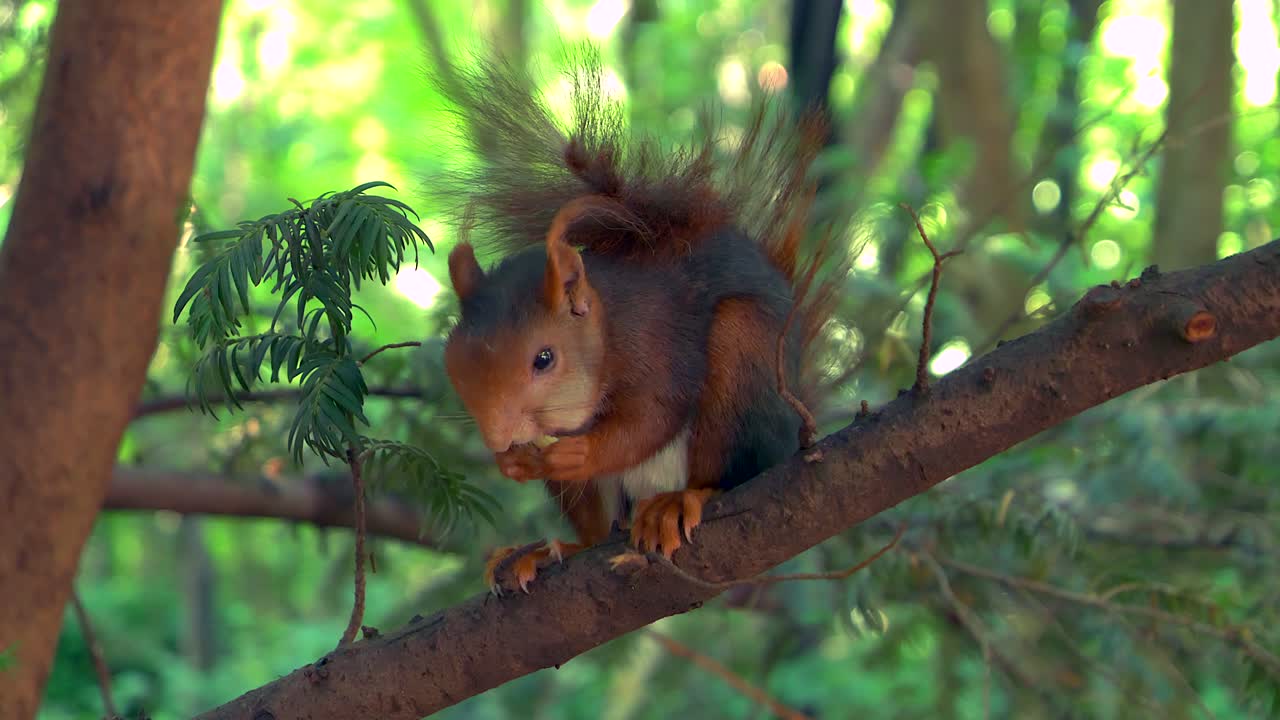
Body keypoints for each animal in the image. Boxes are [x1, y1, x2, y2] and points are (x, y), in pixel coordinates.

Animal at [430, 46, 848, 594]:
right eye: (452, 363)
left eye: (544, 358)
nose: (499, 439)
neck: (606, 332)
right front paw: (514, 461)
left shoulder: (657, 341)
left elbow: (653, 417)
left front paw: (578, 454)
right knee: (597, 528)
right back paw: (546, 551)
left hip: (742, 360)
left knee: (724, 471)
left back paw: (680, 502)